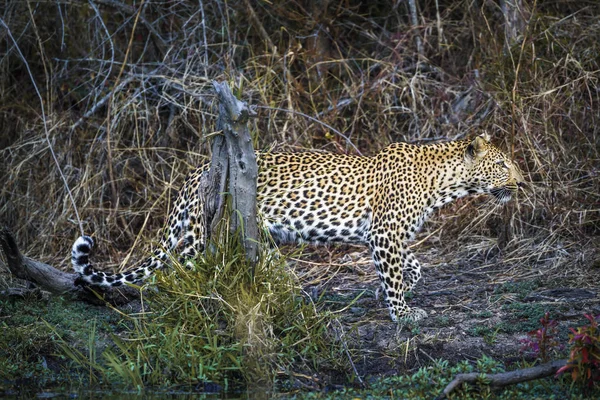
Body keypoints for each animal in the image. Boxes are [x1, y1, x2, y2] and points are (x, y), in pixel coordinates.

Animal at [70, 134, 524, 322]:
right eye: (502, 164)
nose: (521, 183)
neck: (446, 182)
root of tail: (194, 171)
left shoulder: (383, 235)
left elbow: (412, 268)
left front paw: (389, 294)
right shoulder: (385, 233)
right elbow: (398, 274)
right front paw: (402, 314)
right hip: (202, 235)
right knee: (181, 274)